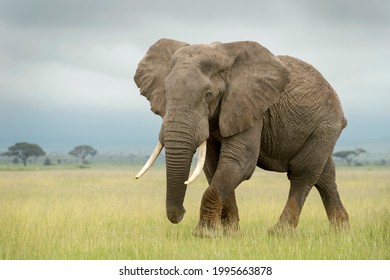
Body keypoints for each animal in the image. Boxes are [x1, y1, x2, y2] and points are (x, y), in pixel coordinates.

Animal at [135, 38, 350, 236]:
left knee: (303, 173)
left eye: (208, 95)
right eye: (166, 93)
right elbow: (214, 166)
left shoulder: (251, 107)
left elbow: (239, 162)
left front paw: (205, 234)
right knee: (324, 175)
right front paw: (230, 233)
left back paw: (279, 233)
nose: (181, 213)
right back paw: (341, 231)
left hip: (325, 126)